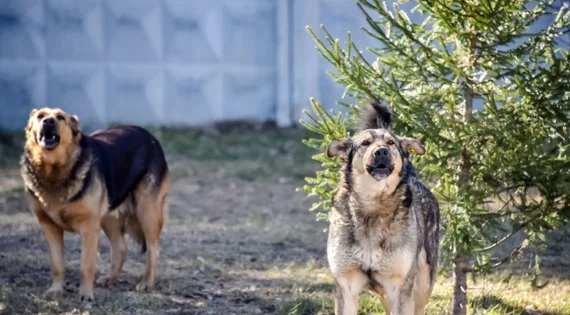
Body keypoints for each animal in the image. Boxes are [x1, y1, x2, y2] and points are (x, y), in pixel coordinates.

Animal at [20, 108, 171, 302]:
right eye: (40, 116)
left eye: (60, 117)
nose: (48, 121)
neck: (54, 170)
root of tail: (149, 135)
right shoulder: (49, 227)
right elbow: (57, 265)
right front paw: (56, 290)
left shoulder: (89, 228)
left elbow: (86, 265)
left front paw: (86, 294)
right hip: (108, 216)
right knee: (120, 247)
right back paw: (111, 278)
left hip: (147, 211)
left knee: (153, 248)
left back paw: (147, 283)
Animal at [324, 100, 440, 315]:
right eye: (365, 143)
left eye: (390, 143)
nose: (381, 152)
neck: (373, 205)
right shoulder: (346, 286)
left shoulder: (400, 287)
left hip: (423, 286)